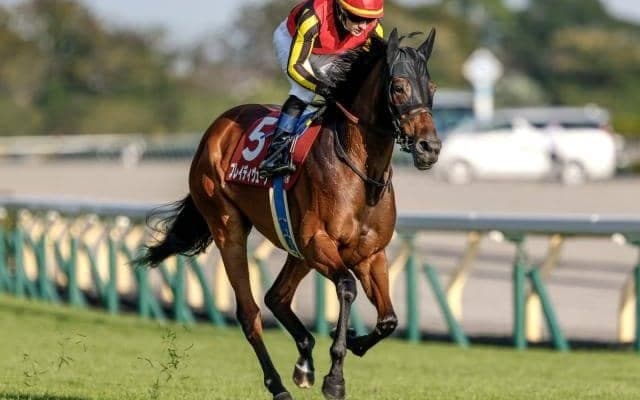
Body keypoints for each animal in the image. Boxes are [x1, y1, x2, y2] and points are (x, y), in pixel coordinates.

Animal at [136, 28, 440, 400]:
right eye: (398, 86)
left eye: (432, 88)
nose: (430, 147)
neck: (360, 173)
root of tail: (217, 129)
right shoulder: (318, 241)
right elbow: (347, 287)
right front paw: (335, 377)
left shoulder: (370, 253)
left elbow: (389, 320)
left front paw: (353, 342)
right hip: (229, 226)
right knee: (250, 312)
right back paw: (278, 384)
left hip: (296, 246)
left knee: (276, 297)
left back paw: (304, 360)